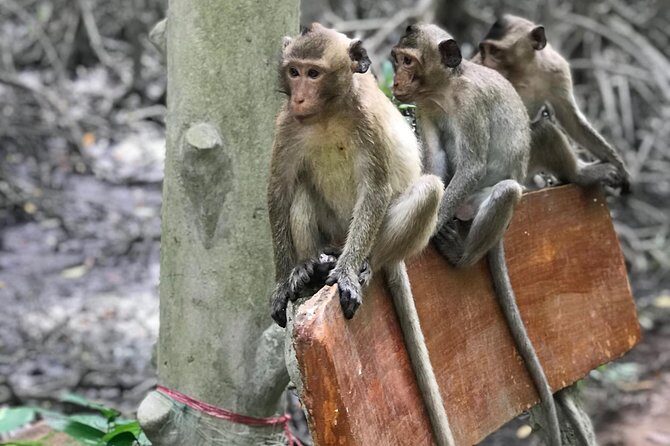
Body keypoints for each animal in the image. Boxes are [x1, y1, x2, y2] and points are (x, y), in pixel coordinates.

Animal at [268, 23, 456, 446]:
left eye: (314, 73)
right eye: (294, 71)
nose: (299, 96)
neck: (327, 112)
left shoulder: (367, 122)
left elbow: (375, 189)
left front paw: (348, 274)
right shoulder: (287, 122)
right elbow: (279, 192)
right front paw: (285, 280)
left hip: (373, 237)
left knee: (427, 190)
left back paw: (362, 265)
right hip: (334, 230)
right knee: (302, 189)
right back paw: (311, 266)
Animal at [392, 24, 562, 446]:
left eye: (408, 61)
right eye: (397, 59)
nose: (396, 81)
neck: (446, 91)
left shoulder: (469, 107)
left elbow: (470, 167)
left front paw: (428, 230)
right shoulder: (427, 107)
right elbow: (437, 167)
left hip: (486, 200)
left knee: (505, 191)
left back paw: (462, 256)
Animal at [473, 14, 631, 193]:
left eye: (495, 51)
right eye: (483, 51)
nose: (485, 63)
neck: (525, 72)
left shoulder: (556, 69)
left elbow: (571, 119)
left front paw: (618, 164)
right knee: (545, 132)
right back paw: (579, 174)